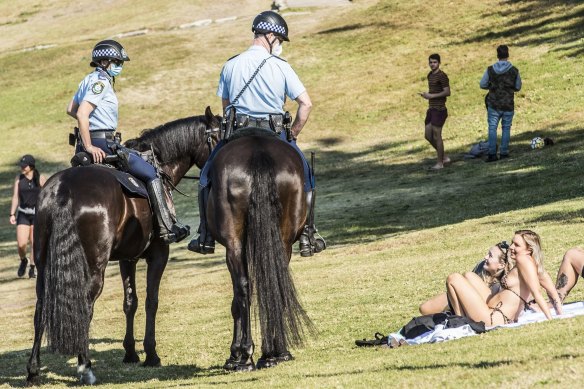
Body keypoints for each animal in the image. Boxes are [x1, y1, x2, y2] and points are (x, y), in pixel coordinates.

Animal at [25, 107, 222, 384]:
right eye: (218, 137)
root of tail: (64, 189)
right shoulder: (158, 253)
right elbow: (151, 301)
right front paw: (151, 354)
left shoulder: (128, 258)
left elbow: (131, 302)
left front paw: (130, 352)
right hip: (93, 267)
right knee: (85, 305)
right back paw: (85, 368)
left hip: (43, 264)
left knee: (41, 307)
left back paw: (33, 370)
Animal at [206, 128, 312, 370]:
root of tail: (258, 152)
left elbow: (238, 299)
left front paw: (237, 353)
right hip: (283, 241)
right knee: (275, 282)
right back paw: (276, 352)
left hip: (234, 244)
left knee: (242, 289)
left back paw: (245, 355)